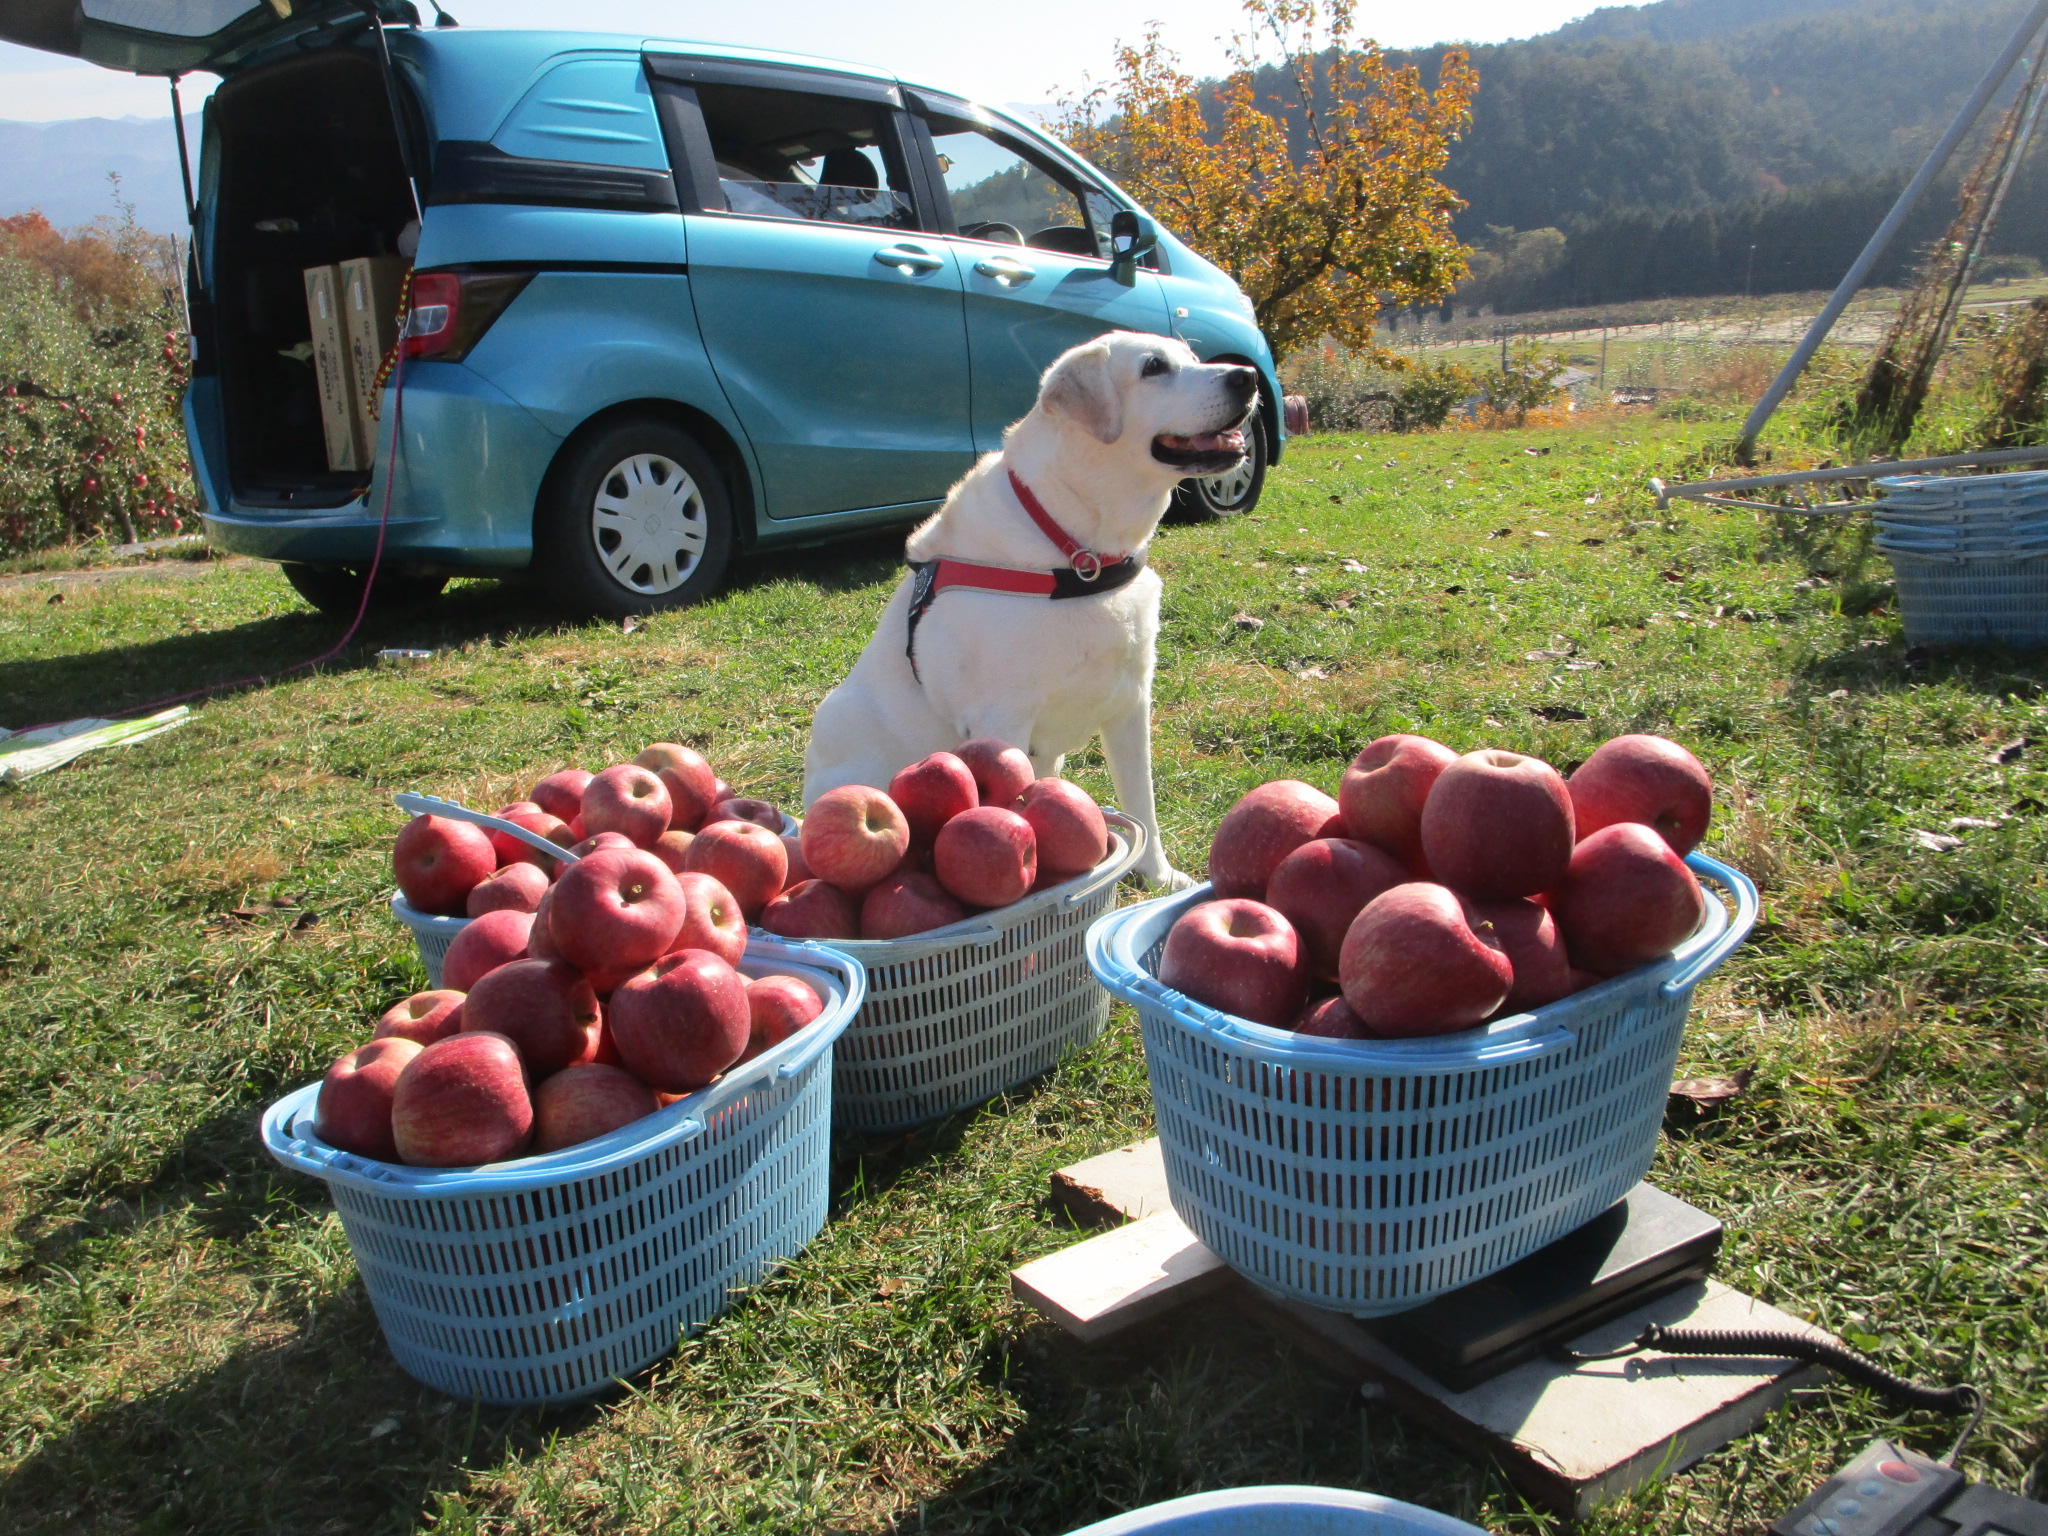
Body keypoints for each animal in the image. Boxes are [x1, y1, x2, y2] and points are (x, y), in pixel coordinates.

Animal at [802, 331, 1253, 884]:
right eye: (1153, 368)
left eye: (1192, 358)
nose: (1248, 377)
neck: (1079, 552)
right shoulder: (1002, 722)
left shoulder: (1131, 704)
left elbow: (1142, 805)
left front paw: (1158, 877)